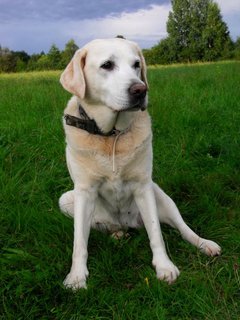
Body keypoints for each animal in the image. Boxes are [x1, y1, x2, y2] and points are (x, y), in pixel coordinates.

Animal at [58, 37, 221, 290]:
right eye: (107, 65)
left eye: (136, 64)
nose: (140, 90)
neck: (111, 136)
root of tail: (127, 224)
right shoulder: (84, 192)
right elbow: (79, 243)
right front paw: (76, 277)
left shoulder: (143, 186)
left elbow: (156, 233)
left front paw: (164, 266)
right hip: (66, 200)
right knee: (103, 227)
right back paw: (116, 234)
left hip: (160, 194)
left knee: (182, 228)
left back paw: (204, 244)